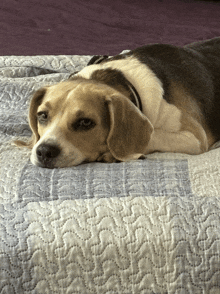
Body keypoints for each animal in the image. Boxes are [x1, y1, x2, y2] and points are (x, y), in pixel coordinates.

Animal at [14, 38, 220, 169]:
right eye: (42, 116)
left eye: (85, 122)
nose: (44, 151)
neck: (125, 80)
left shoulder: (194, 138)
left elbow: (153, 136)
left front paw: (113, 153)